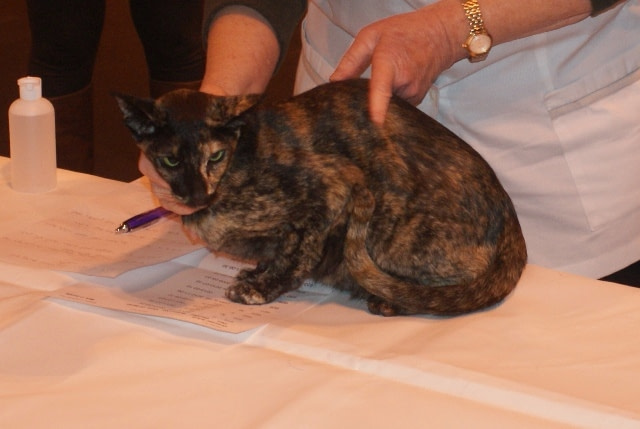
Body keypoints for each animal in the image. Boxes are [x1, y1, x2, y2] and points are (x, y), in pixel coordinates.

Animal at [115, 78, 527, 317]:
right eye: (170, 160)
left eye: (214, 157)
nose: (197, 194)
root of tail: (511, 222)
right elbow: (279, 252)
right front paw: (258, 273)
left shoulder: (332, 187)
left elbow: (298, 253)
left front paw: (262, 289)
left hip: (393, 224)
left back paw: (391, 299)